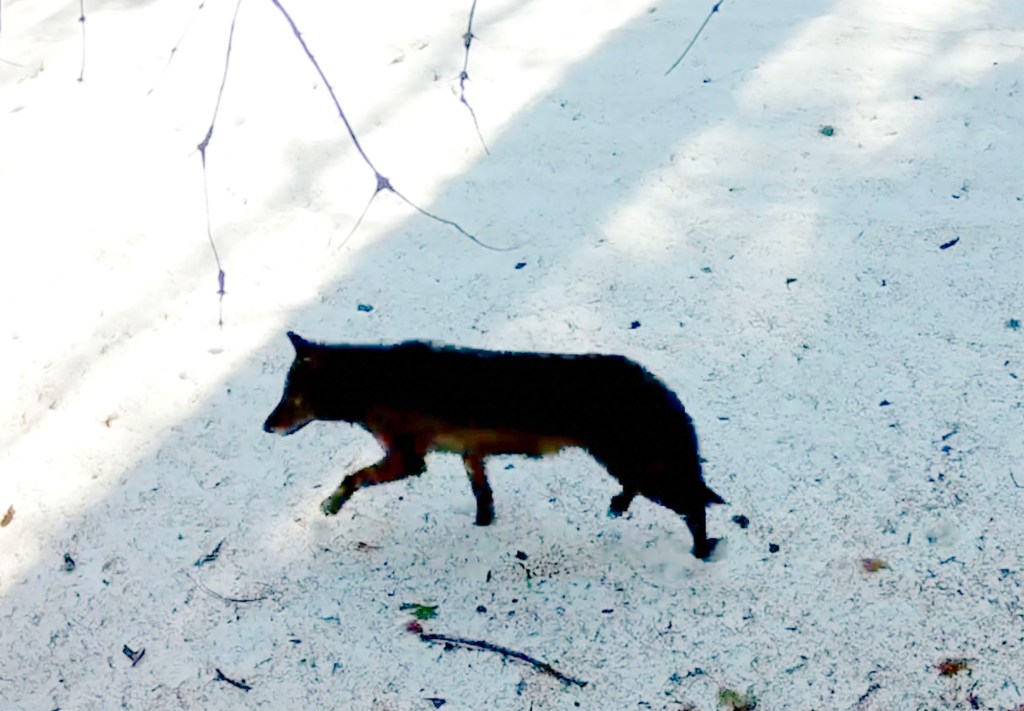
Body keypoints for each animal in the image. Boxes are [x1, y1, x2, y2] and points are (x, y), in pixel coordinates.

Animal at [263, 332, 724, 559]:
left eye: (289, 396)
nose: (265, 426)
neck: (374, 380)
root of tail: (653, 382)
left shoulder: (409, 460)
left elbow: (350, 477)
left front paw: (332, 504)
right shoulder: (471, 454)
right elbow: (482, 495)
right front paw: (484, 525)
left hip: (640, 467)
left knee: (694, 506)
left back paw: (702, 552)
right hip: (627, 462)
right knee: (646, 489)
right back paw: (620, 505)